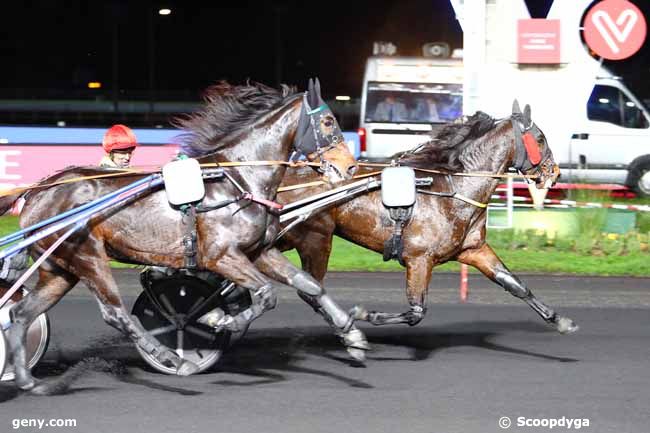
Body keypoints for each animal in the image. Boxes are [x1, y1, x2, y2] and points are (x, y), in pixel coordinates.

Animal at [0, 79, 370, 394]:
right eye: (328, 123)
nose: (351, 167)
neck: (238, 179)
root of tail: (37, 191)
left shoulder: (258, 252)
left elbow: (310, 285)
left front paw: (352, 334)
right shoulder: (221, 256)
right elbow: (266, 295)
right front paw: (220, 319)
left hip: (60, 268)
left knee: (20, 315)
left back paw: (28, 380)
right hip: (87, 256)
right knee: (115, 313)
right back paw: (165, 354)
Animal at [278, 103, 576, 336]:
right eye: (540, 138)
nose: (555, 172)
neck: (454, 189)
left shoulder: (473, 250)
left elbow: (514, 284)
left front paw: (561, 320)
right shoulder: (419, 259)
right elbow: (416, 312)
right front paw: (364, 315)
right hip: (316, 240)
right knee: (310, 290)